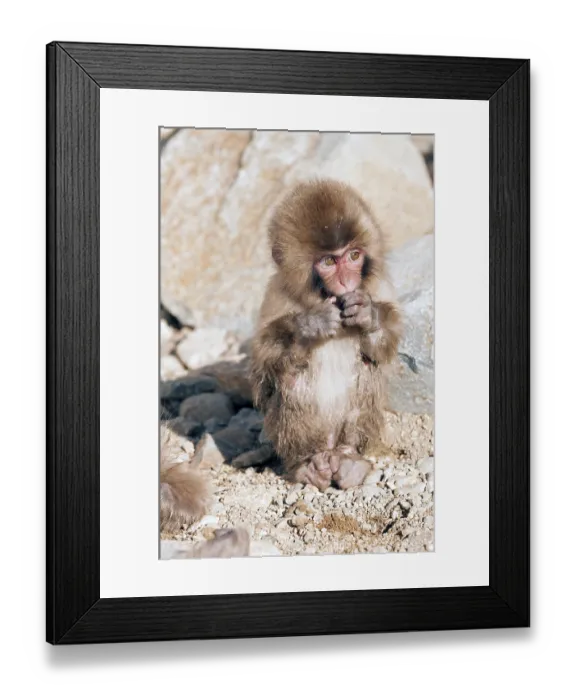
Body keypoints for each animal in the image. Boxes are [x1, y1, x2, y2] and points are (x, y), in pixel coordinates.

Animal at [251, 178, 402, 492]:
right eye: (329, 262)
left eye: (354, 256)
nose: (347, 281)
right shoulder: (277, 293)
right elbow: (264, 360)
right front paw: (311, 325)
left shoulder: (378, 285)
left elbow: (387, 344)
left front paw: (369, 316)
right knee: (292, 377)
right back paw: (309, 464)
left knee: (367, 366)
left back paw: (349, 458)